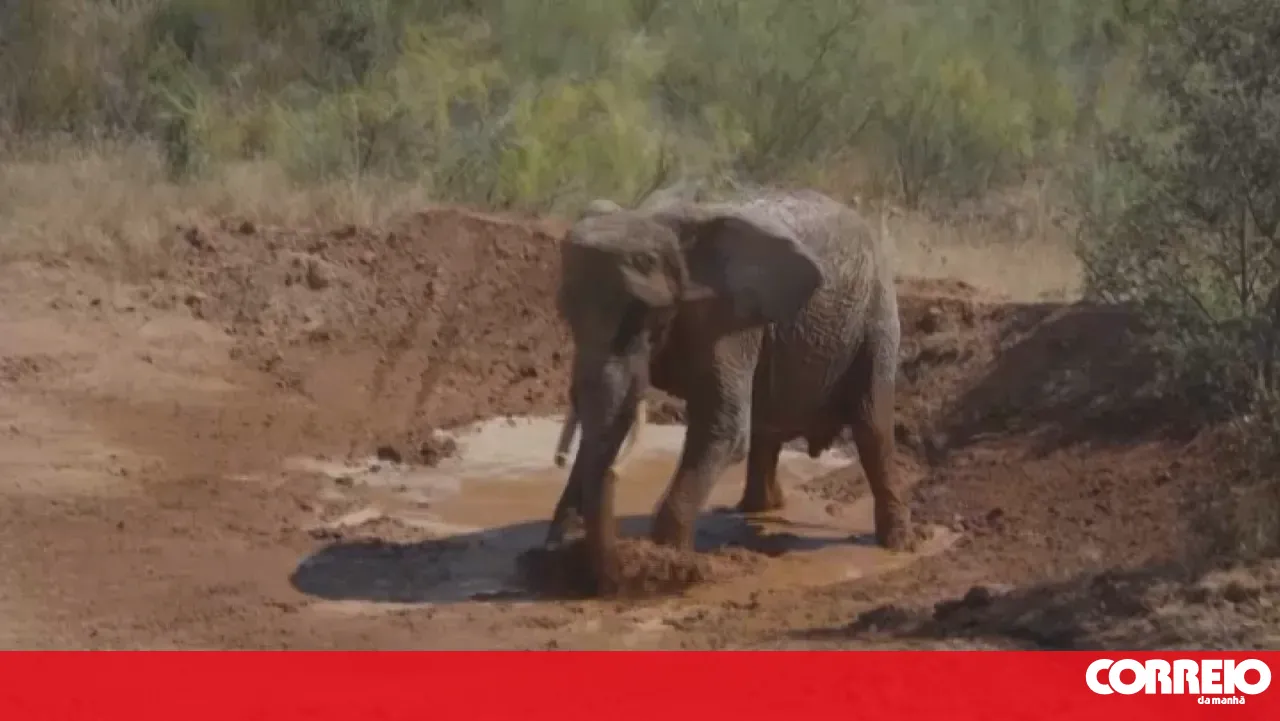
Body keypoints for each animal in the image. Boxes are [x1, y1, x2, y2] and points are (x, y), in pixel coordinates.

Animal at [548, 187, 914, 595]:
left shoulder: (727, 324)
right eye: (566, 312)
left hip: (878, 316)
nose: (604, 577)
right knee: (768, 426)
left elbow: (722, 428)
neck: (656, 219)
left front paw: (666, 565)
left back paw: (898, 543)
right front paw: (559, 547)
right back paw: (757, 509)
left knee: (872, 427)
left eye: (643, 317)